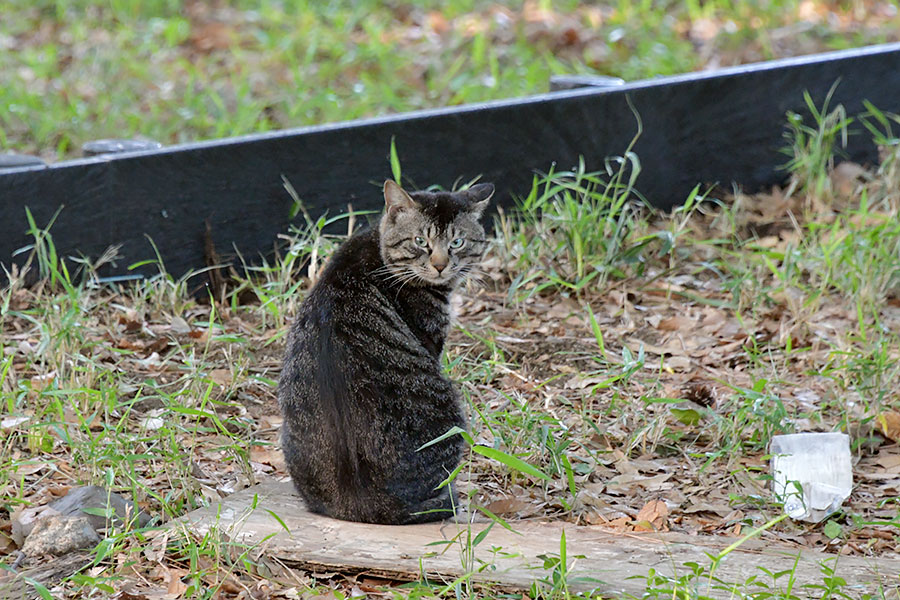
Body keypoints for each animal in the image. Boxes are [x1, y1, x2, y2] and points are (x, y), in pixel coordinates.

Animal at [280, 179, 496, 524]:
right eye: (420, 241)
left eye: (457, 242)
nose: (440, 265)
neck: (379, 247)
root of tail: (363, 504)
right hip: (450, 411)